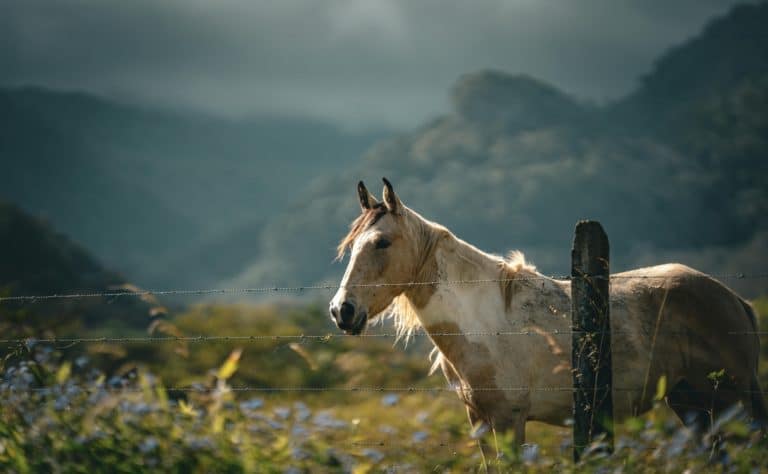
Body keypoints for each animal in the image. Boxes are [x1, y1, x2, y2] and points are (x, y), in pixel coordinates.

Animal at [329, 177, 767, 449]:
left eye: (382, 243)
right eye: (351, 246)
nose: (341, 311)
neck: (485, 324)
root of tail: (735, 300)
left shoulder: (509, 421)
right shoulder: (480, 421)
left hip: (728, 403)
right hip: (693, 405)